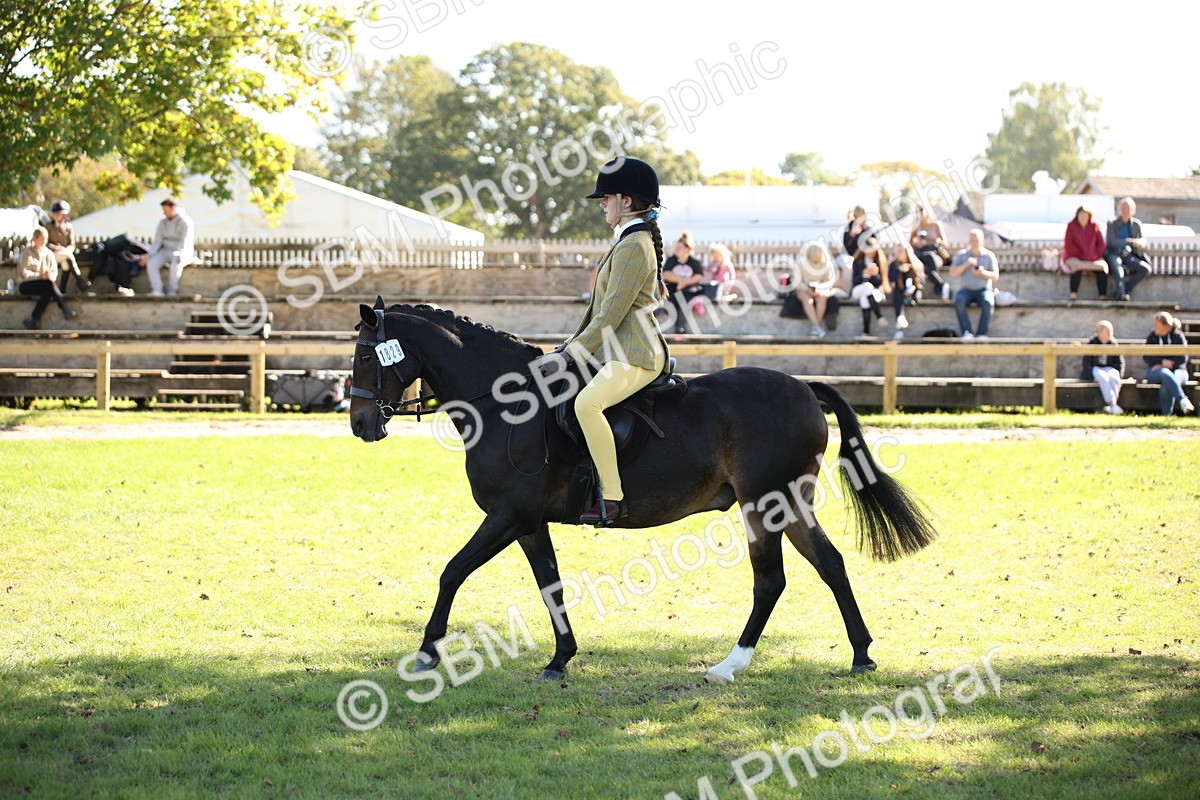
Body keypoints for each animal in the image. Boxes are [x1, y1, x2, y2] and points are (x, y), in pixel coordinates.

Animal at [349, 298, 937, 683]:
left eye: (364, 357)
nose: (360, 425)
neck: (505, 404)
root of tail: (802, 388)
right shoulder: (528, 522)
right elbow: (550, 585)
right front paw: (561, 659)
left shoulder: (507, 515)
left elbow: (452, 571)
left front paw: (427, 652)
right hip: (789, 504)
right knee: (830, 563)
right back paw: (860, 654)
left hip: (763, 504)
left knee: (771, 580)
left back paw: (731, 664)